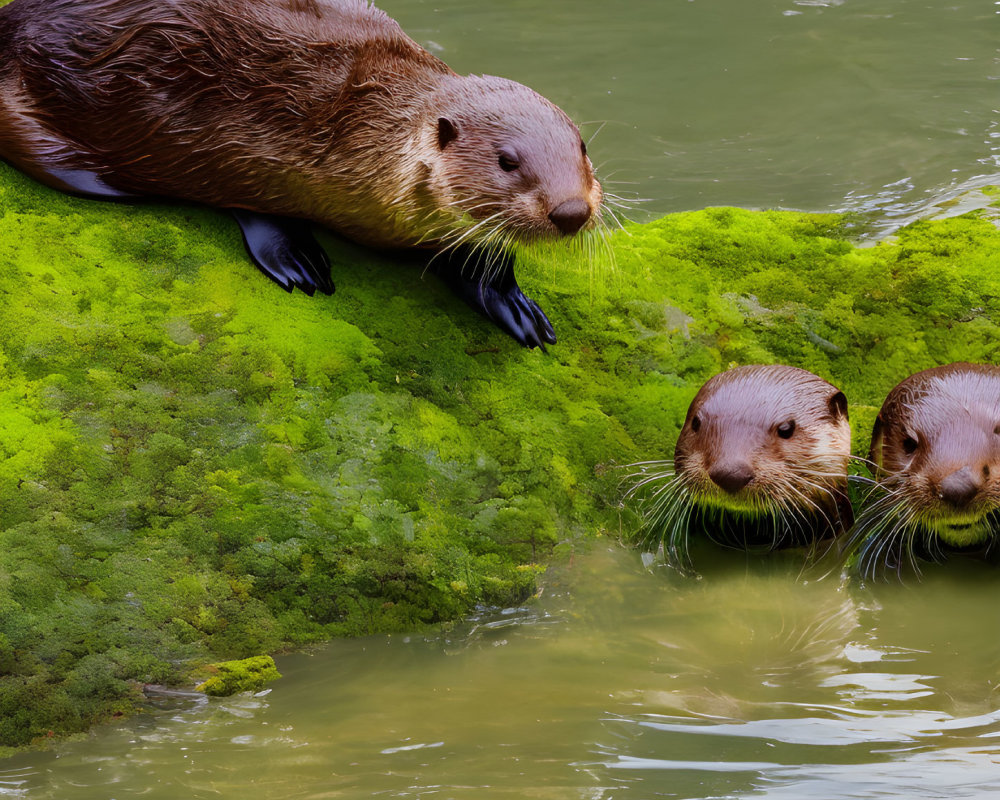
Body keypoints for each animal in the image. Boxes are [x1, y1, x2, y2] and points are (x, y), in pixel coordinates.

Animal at [0, 0, 600, 350]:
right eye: (507, 160)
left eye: (582, 146)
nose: (571, 211)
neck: (361, 124)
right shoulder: (235, 138)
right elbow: (246, 196)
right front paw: (298, 261)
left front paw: (514, 303)